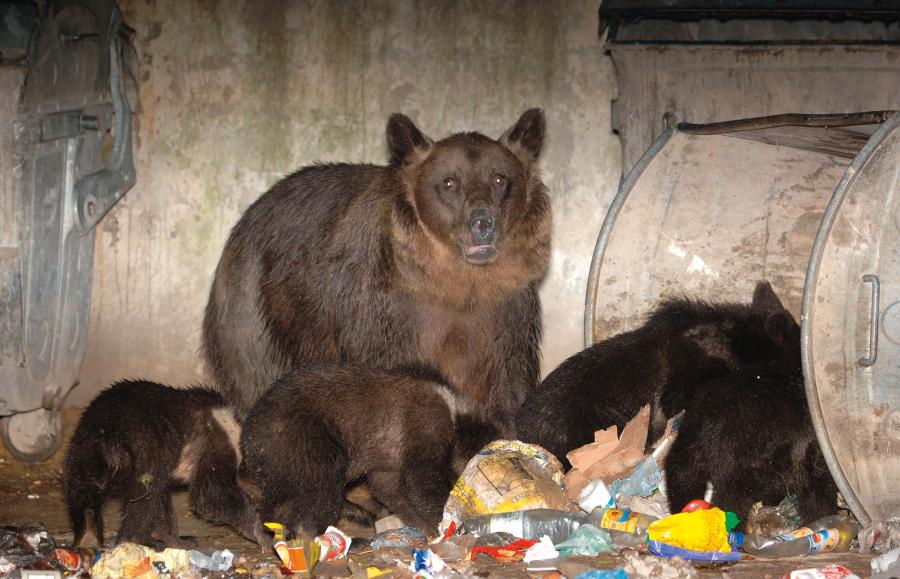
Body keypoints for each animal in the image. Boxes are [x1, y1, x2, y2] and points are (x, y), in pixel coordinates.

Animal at [201, 111, 548, 432]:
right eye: (450, 182)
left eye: (500, 179)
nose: (482, 222)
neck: (456, 285)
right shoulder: (386, 314)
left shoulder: (505, 318)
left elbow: (507, 386)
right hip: (258, 309)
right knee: (257, 375)